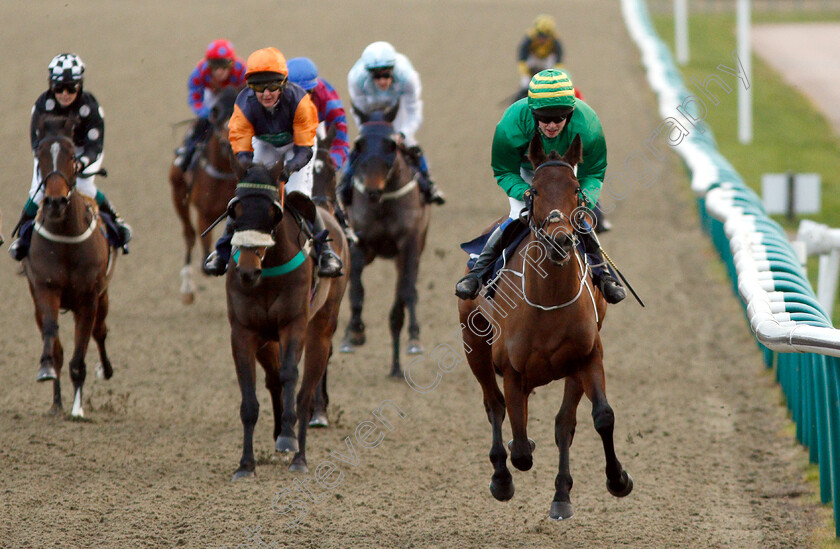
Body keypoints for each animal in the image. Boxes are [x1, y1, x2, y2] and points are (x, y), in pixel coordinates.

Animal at [24, 114, 118, 416]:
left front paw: (78, 408)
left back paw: (105, 370)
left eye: (71, 156)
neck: (65, 242)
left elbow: (82, 347)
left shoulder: (89, 298)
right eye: (40, 154)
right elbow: (53, 337)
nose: (54, 202)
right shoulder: (45, 289)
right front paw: (46, 370)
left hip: (103, 297)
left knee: (100, 332)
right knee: (57, 343)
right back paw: (56, 403)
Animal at [168, 88, 240, 306]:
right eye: (217, 112)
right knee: (189, 235)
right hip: (177, 192)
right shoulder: (204, 214)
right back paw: (187, 289)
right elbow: (205, 256)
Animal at [223, 157, 348, 476]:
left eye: (273, 213)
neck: (267, 273)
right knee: (274, 381)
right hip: (268, 342)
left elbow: (291, 375)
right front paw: (246, 464)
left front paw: (288, 439)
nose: (247, 271)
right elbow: (249, 397)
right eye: (234, 211)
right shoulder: (243, 332)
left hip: (321, 330)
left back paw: (298, 456)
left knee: (305, 392)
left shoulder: (294, 325)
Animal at [338, 107, 430, 376]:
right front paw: (355, 331)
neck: (383, 204)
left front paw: (412, 337)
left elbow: (407, 290)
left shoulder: (409, 245)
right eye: (359, 145)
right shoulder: (360, 243)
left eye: (391, 145)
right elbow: (356, 289)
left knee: (410, 289)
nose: (371, 190)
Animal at [460, 133, 632, 520]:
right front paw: (510, 466)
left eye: (575, 190)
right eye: (535, 190)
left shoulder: (588, 356)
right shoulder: (511, 370)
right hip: (474, 346)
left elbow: (601, 417)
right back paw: (501, 477)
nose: (561, 239)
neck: (549, 300)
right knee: (494, 405)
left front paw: (617, 480)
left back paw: (561, 495)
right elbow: (521, 447)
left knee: (562, 423)